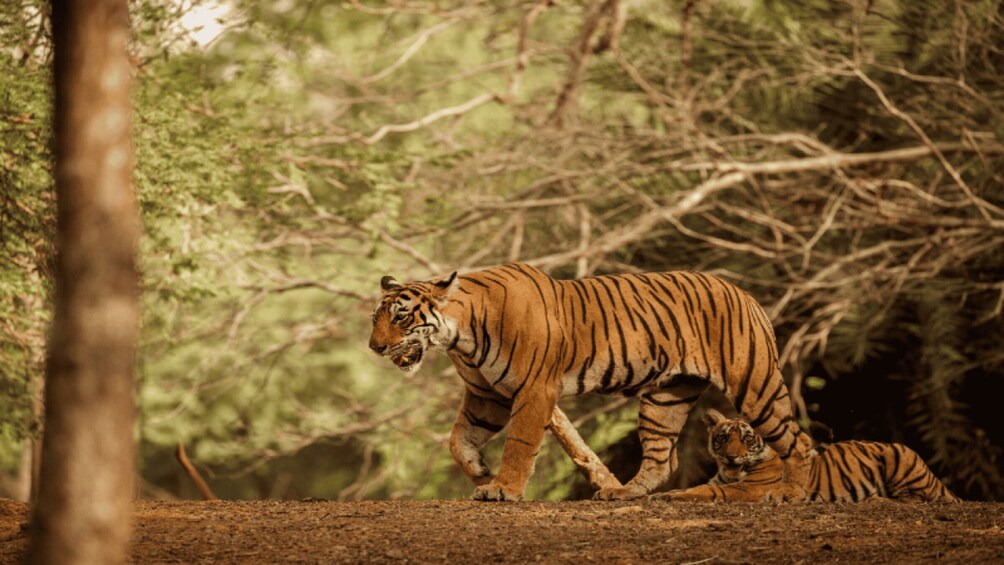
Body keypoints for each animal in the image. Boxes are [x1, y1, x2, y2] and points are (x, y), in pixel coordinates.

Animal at [368, 263, 814, 501]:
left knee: (798, 440)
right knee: (662, 459)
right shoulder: (485, 397)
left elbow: (520, 444)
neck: (459, 337)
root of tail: (745, 293)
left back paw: (791, 494)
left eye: (401, 317)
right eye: (376, 318)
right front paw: (480, 474)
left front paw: (504, 488)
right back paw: (624, 492)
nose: (374, 347)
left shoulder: (533, 390)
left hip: (754, 383)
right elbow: (458, 440)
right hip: (665, 397)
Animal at [652, 409, 959, 503]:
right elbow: (698, 487)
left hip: (900, 456)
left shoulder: (748, 488)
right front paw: (664, 494)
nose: (731, 457)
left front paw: (668, 496)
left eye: (747, 438)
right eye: (724, 437)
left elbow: (706, 491)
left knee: (919, 499)